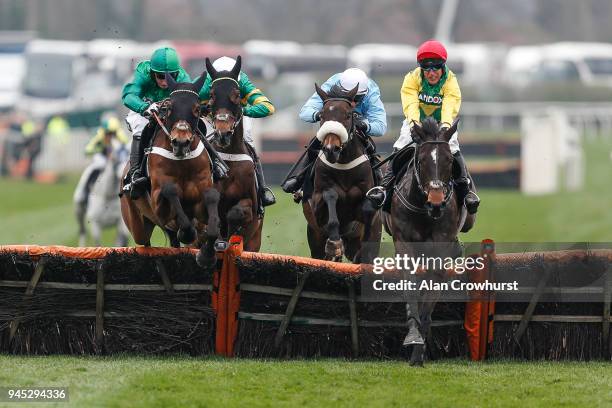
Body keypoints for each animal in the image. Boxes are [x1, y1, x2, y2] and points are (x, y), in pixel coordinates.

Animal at [119, 73, 222, 270]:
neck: (182, 162)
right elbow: (171, 190)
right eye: (169, 108)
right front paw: (187, 233)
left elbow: (212, 200)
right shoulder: (159, 205)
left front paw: (206, 256)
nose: (180, 142)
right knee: (144, 242)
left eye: (197, 108)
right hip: (137, 224)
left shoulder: (203, 198)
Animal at [302, 83, 380, 262]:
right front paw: (334, 245)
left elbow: (367, 210)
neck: (344, 165)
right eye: (321, 115)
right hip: (315, 237)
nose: (331, 149)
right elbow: (331, 197)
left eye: (348, 115)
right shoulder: (317, 205)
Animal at [382, 117, 478, 366]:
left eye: (449, 160)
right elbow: (411, 288)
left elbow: (430, 296)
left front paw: (420, 350)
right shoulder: (404, 244)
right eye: (422, 159)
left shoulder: (440, 248)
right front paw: (413, 336)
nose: (436, 200)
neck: (425, 211)